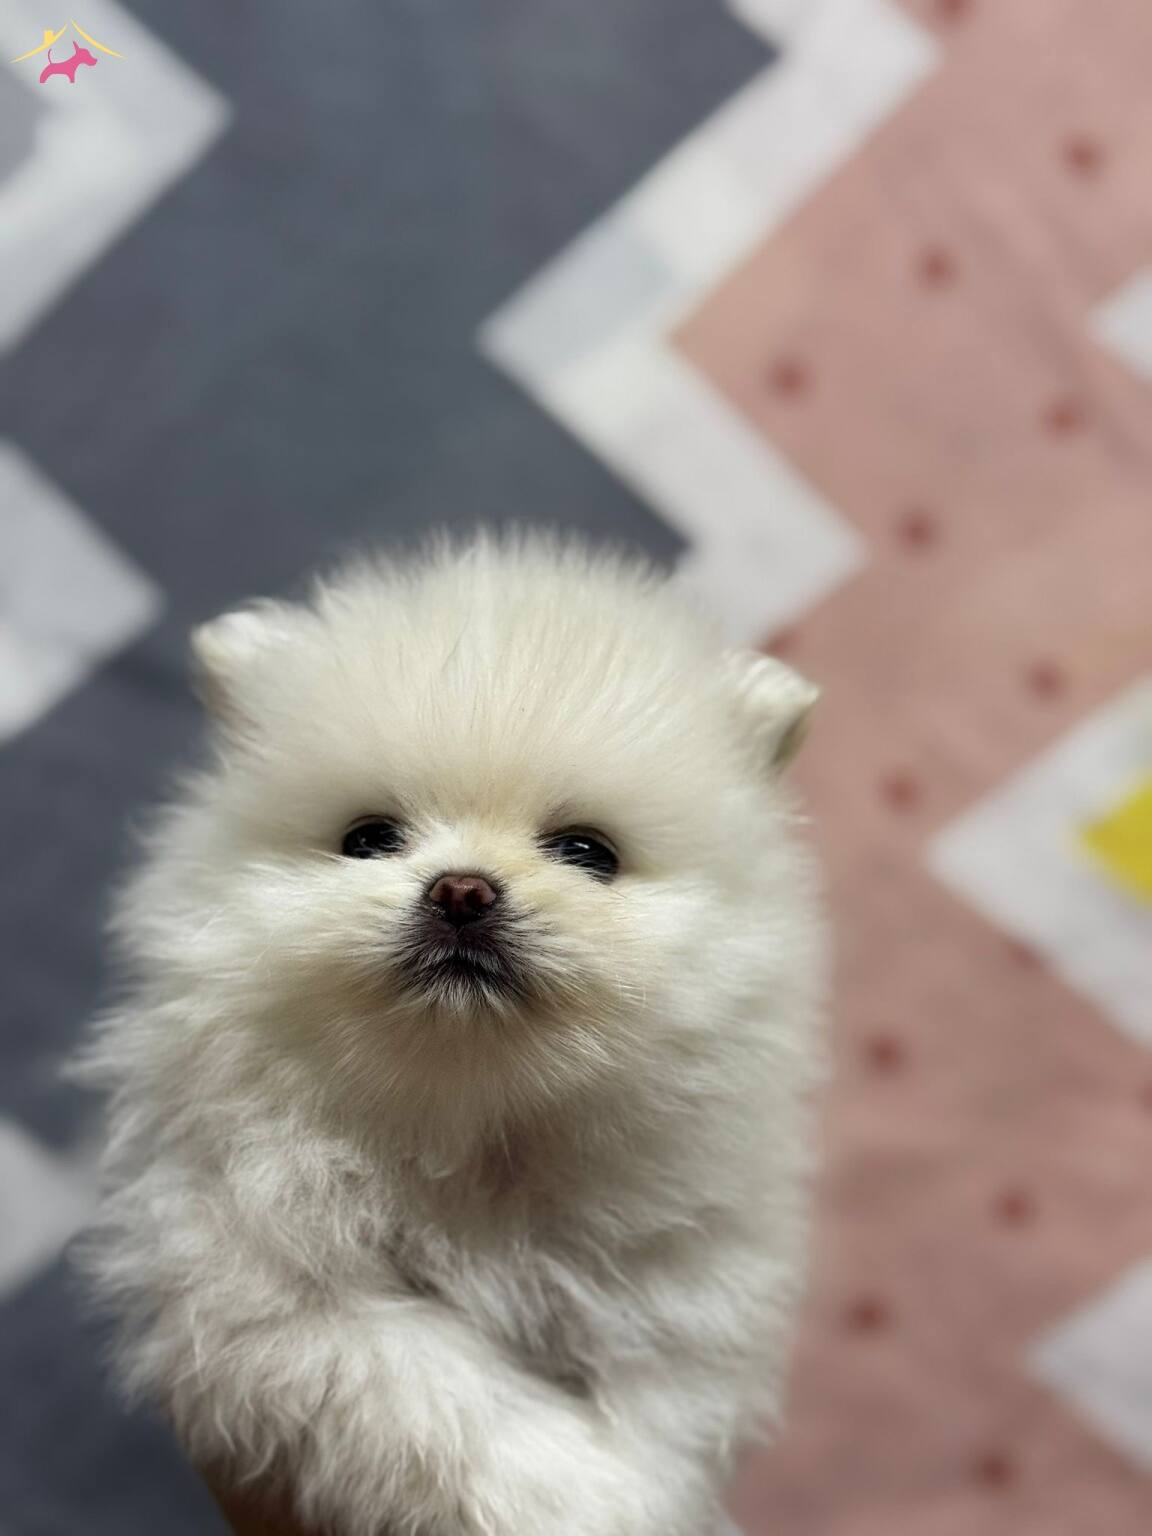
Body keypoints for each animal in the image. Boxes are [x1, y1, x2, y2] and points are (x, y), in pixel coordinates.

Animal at [80, 535, 825, 1536]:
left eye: (587, 853)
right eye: (367, 838)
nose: (462, 890)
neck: (469, 1120)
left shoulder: (679, 1294)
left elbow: (661, 1421)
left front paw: (644, 1498)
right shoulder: (271, 1296)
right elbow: (439, 1394)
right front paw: (583, 1501)